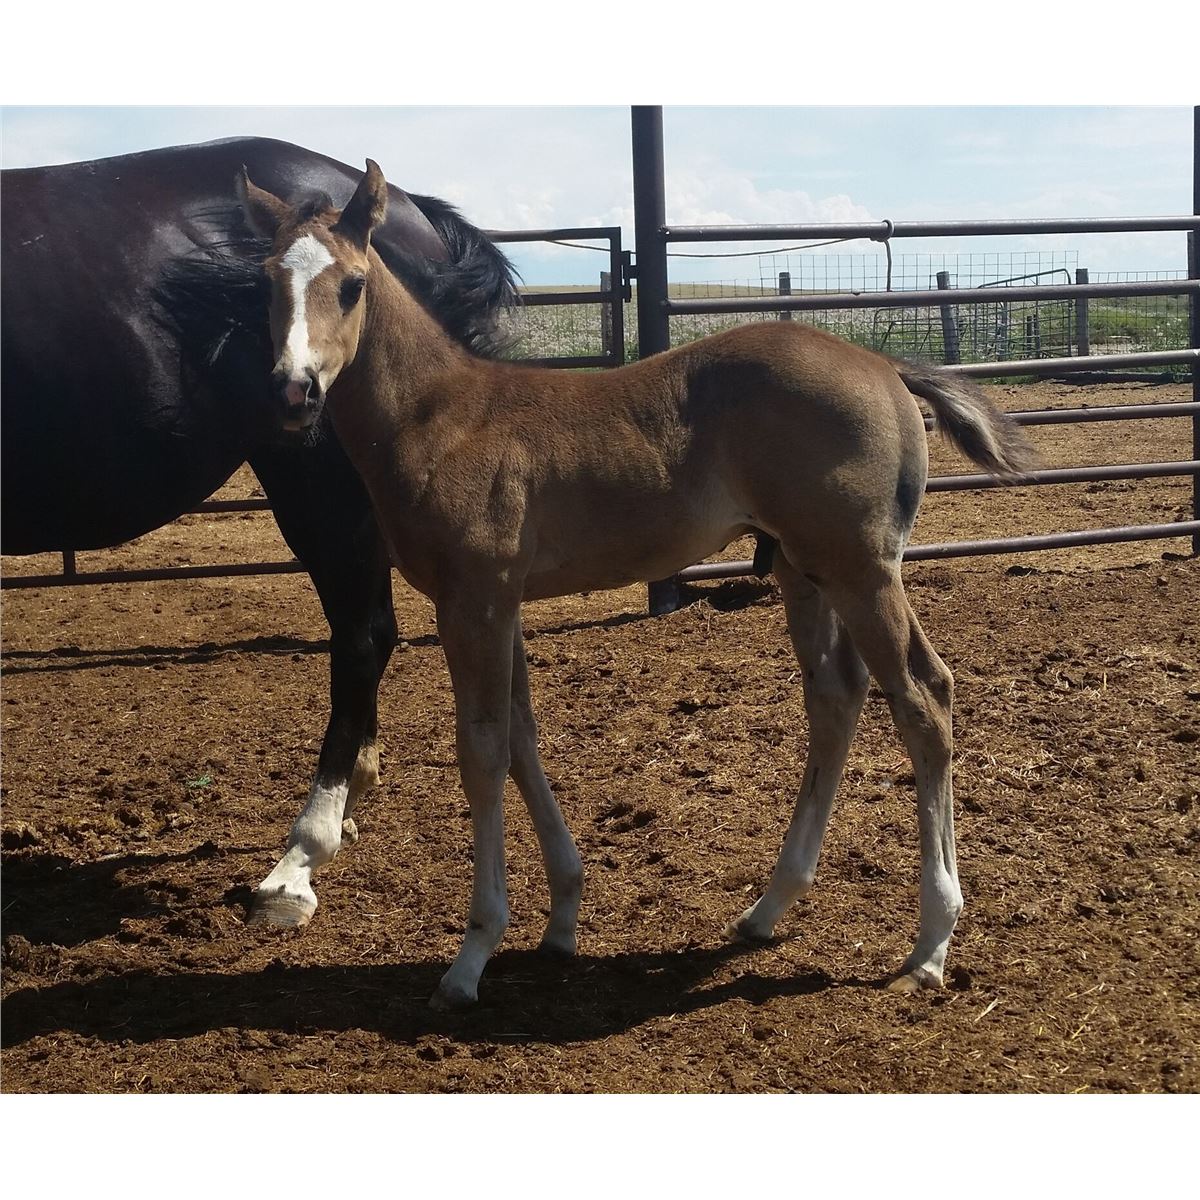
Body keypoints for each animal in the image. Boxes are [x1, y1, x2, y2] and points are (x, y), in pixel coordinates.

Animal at [239, 160, 1035, 1010]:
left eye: (351, 284)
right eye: (267, 281)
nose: (293, 390)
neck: (441, 417)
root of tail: (885, 366)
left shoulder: (471, 599)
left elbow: (482, 751)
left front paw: (473, 953)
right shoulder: (503, 600)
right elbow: (521, 736)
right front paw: (562, 917)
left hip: (861, 569)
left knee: (924, 697)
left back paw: (931, 943)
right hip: (804, 570)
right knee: (836, 698)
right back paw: (768, 907)